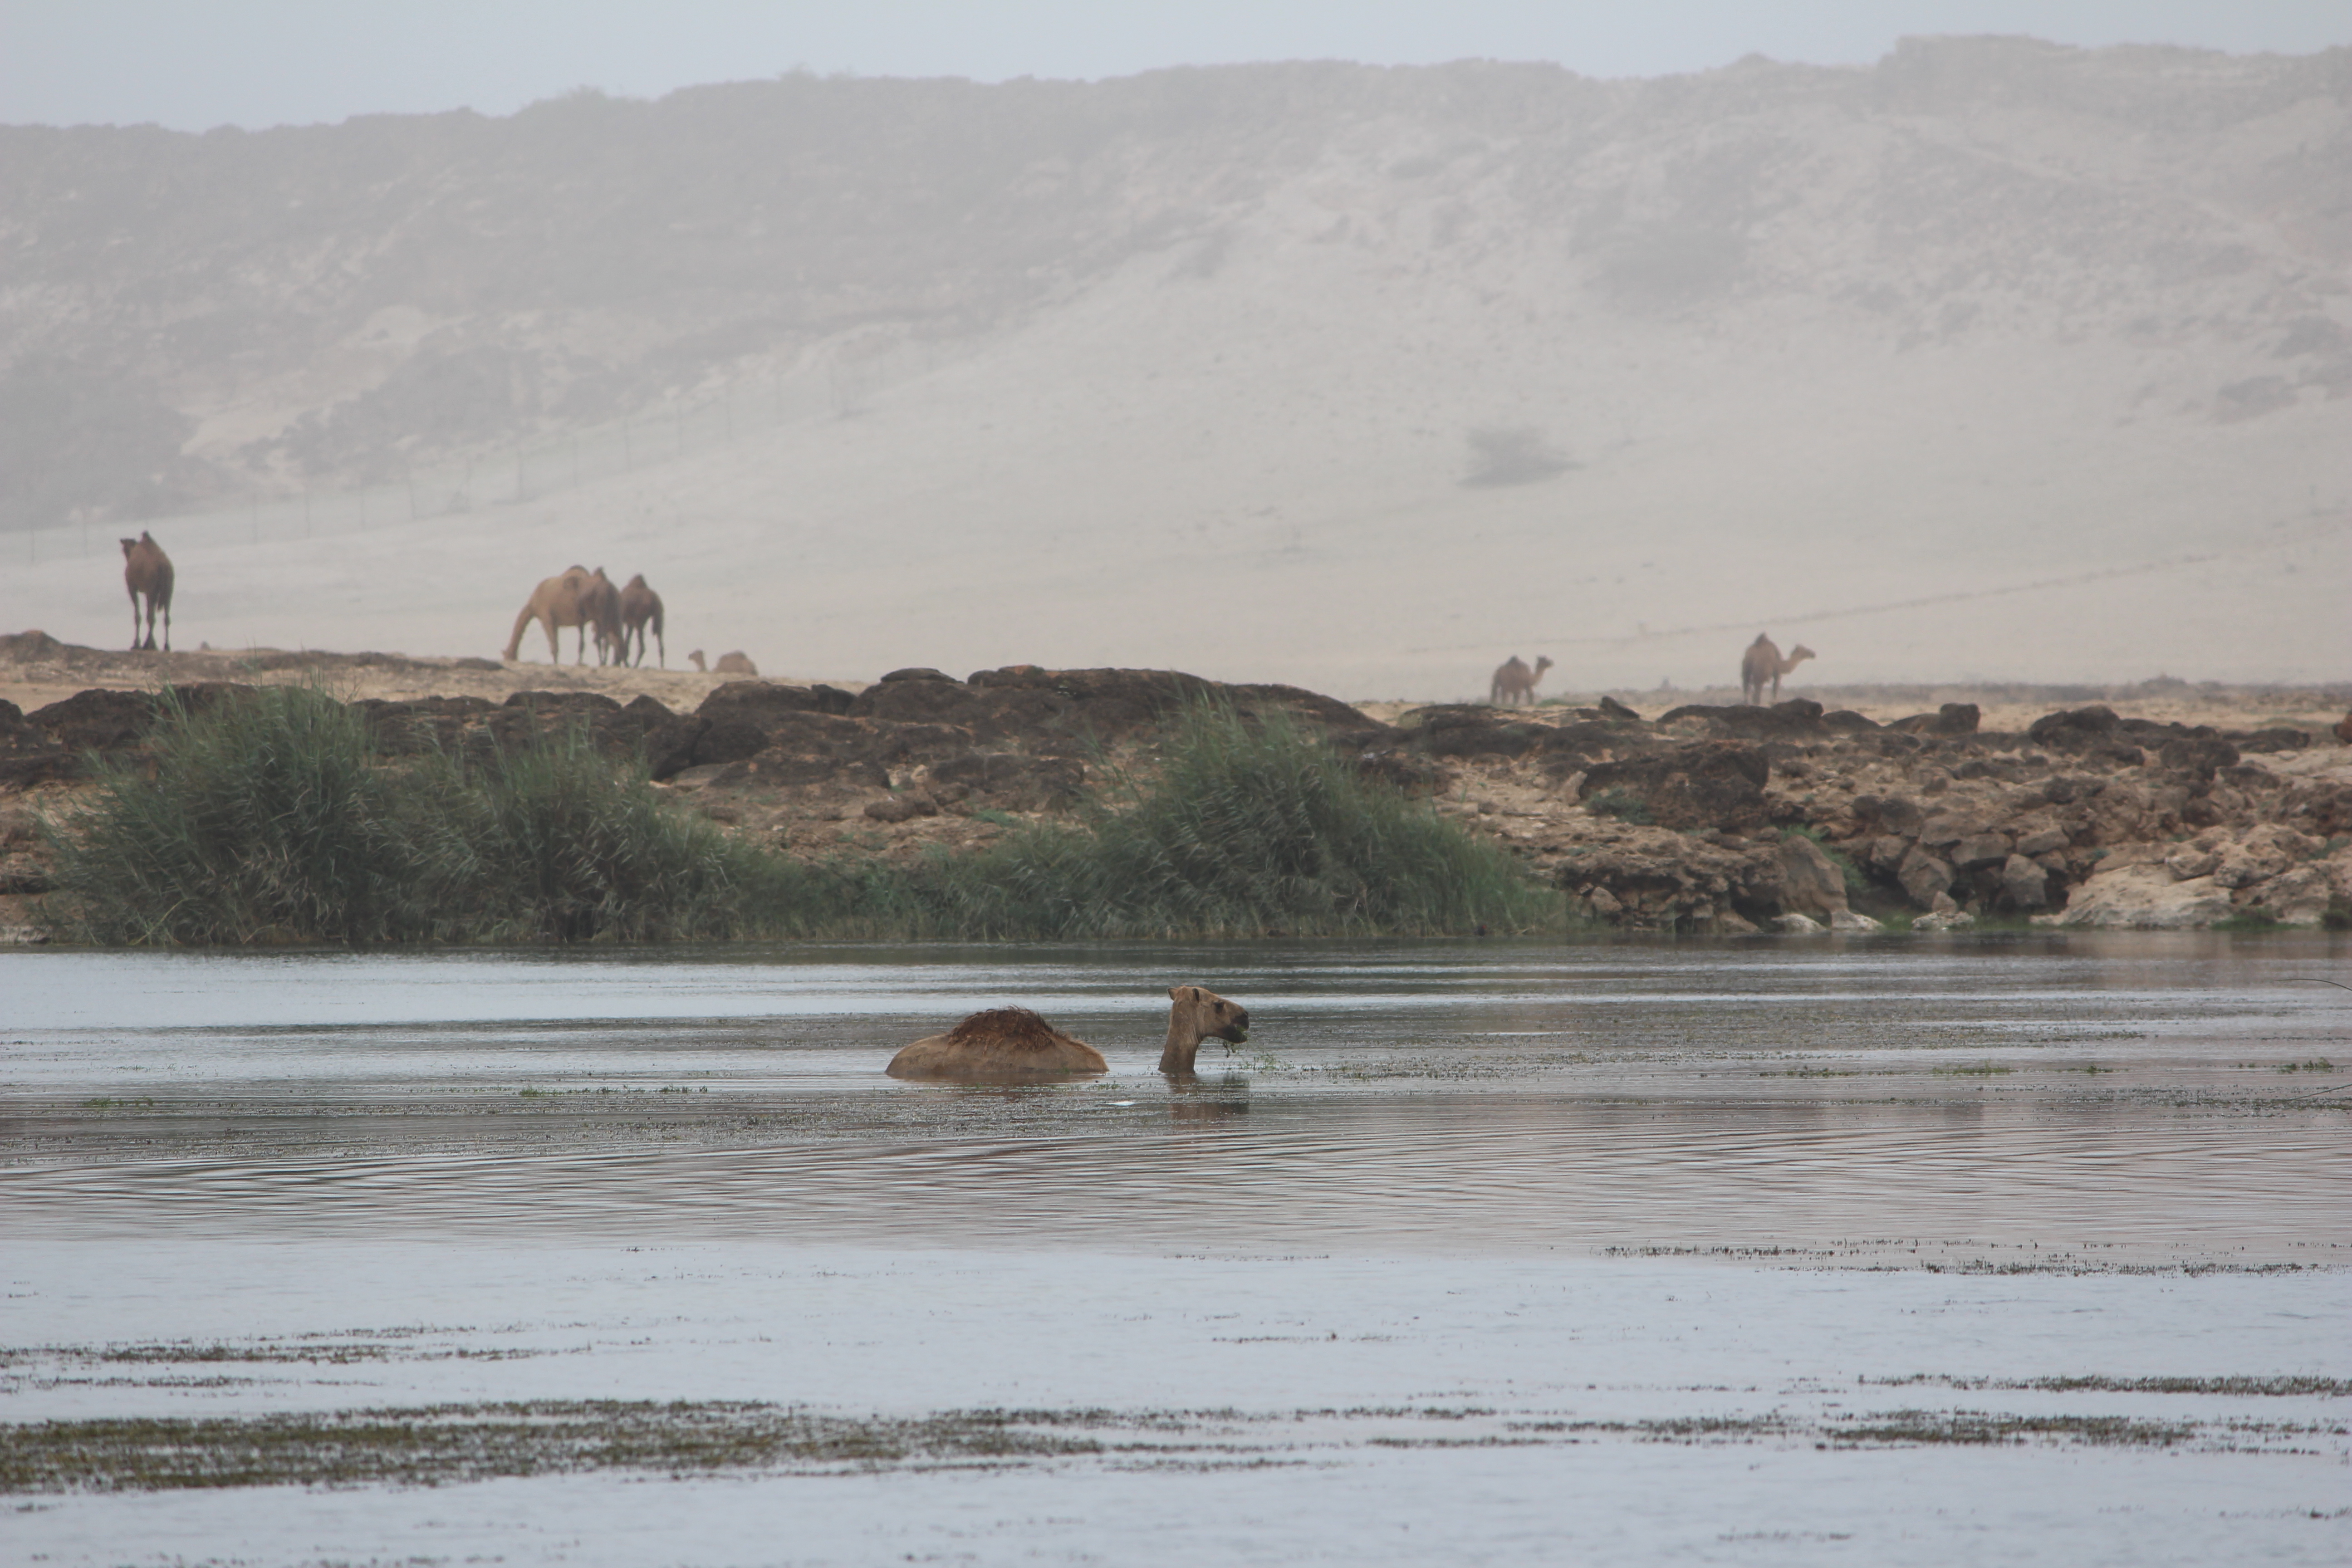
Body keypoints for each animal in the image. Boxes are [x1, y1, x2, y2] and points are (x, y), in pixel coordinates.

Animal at [120, 531, 173, 651]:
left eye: (124, 550)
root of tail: (163, 567)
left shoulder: (133, 588)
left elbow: (138, 616)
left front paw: (136, 644)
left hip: (151, 589)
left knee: (151, 617)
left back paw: (149, 645)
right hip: (168, 590)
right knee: (166, 618)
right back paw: (166, 645)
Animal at [617, 574, 665, 668]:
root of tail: (653, 599)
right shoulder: (630, 624)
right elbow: (626, 644)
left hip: (639, 622)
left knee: (642, 647)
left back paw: (634, 666)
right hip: (658, 616)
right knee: (660, 643)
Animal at [1490, 654, 1553, 706]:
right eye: (1545, 660)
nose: (1552, 662)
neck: (1531, 677)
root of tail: (1498, 671)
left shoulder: (1520, 688)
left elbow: (1518, 697)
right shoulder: (1527, 686)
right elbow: (1531, 694)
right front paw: (1530, 704)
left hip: (1496, 680)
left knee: (1495, 691)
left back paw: (1495, 703)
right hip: (1505, 683)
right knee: (1504, 695)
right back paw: (1504, 704)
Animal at [1740, 634, 1814, 705]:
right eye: (1804, 649)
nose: (1813, 654)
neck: (1780, 664)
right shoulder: (1777, 675)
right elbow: (1775, 692)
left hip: (1747, 671)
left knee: (1748, 690)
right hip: (1759, 675)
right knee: (1756, 695)